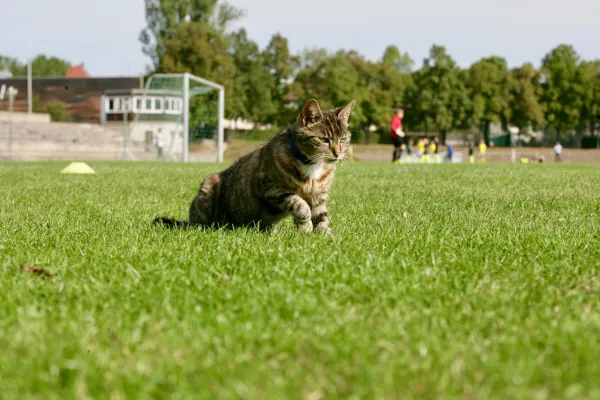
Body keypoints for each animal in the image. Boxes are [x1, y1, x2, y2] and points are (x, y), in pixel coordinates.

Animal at [152, 98, 356, 234]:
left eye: (343, 139)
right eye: (324, 140)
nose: (338, 153)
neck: (312, 165)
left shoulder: (318, 197)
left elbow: (322, 217)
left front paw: (326, 237)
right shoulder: (271, 188)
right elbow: (299, 203)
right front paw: (305, 226)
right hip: (208, 188)